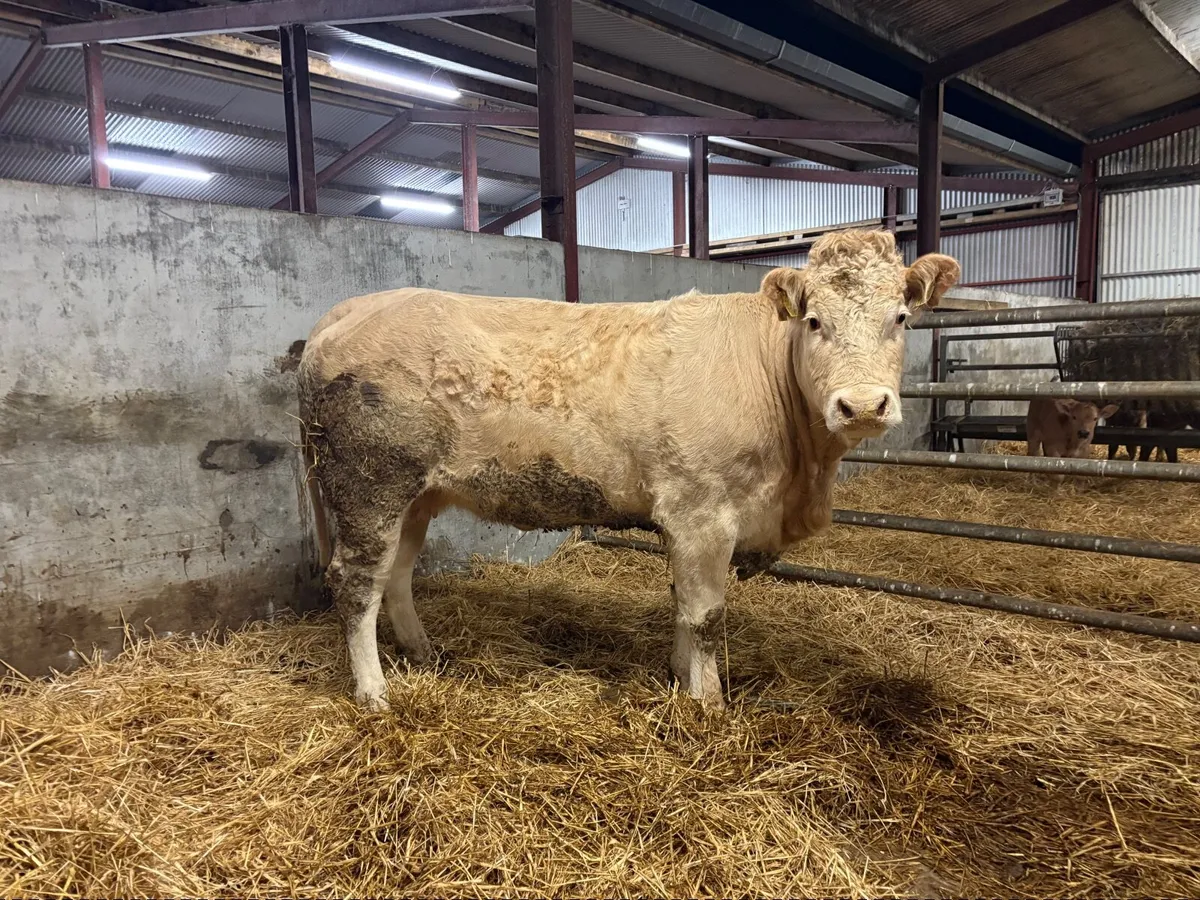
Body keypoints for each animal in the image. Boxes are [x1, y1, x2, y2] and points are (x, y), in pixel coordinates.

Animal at [297, 230, 960, 711]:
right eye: (815, 320)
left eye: (901, 317)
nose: (863, 405)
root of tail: (352, 308)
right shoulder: (702, 512)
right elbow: (705, 614)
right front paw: (708, 704)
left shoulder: (690, 523)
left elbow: (682, 604)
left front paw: (678, 675)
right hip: (369, 487)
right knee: (356, 583)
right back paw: (374, 693)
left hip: (415, 496)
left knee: (396, 576)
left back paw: (424, 653)